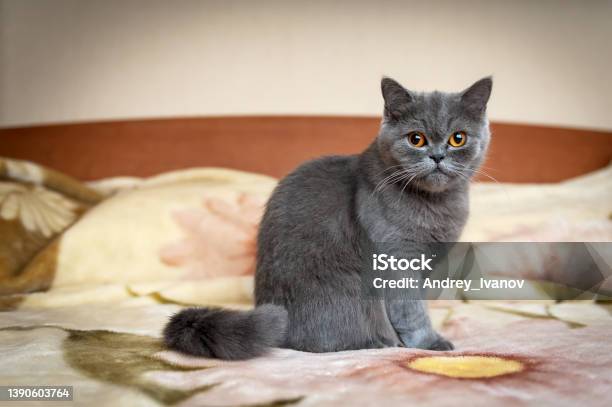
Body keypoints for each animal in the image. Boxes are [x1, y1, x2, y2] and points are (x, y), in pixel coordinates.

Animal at [163, 75, 492, 360]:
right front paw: (430, 343)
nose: (437, 156)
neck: (436, 205)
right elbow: (410, 310)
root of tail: (282, 332)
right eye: (416, 139)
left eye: (458, 138)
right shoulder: (398, 260)